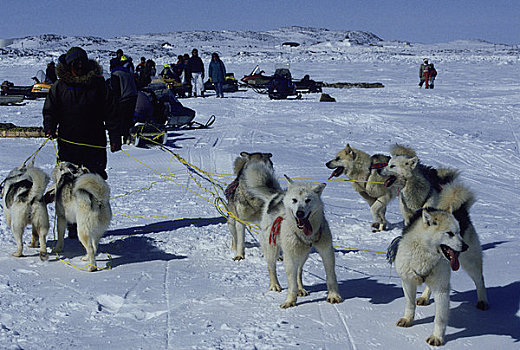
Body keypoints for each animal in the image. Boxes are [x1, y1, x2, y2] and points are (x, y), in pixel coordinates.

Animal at [255, 176, 344, 308]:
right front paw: (290, 301)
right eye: (294, 200)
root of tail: (277, 195)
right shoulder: (289, 256)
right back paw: (275, 285)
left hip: (303, 253)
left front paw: (333, 295)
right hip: (273, 248)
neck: (306, 233)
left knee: (299, 271)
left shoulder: (326, 250)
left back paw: (301, 289)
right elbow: (291, 283)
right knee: (271, 267)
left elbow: (331, 275)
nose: (300, 213)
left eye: (308, 200)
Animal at [394, 182, 488, 346]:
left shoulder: (442, 289)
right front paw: (408, 319)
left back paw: (482, 300)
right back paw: (424, 297)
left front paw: (437, 337)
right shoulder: (407, 281)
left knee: (480, 280)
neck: (425, 254)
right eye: (450, 233)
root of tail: (461, 208)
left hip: (471, 263)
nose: (465, 246)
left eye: (458, 232)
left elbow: (440, 318)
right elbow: (410, 304)